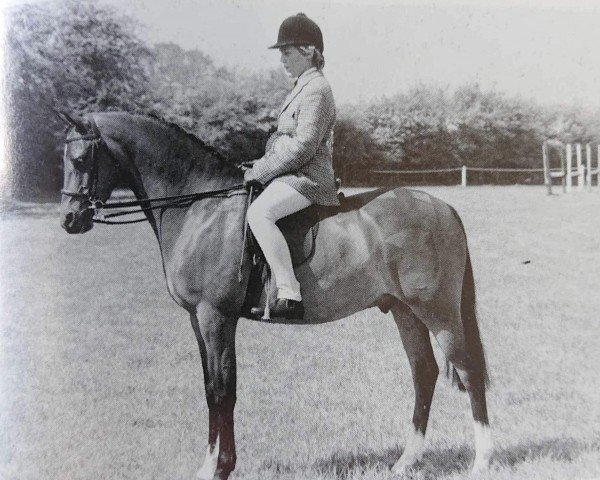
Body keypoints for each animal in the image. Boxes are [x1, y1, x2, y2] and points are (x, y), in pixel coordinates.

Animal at [58, 111, 494, 480]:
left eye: (80, 160)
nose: (69, 220)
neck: (199, 207)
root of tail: (443, 207)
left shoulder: (216, 317)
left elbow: (222, 390)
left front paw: (220, 468)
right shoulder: (198, 319)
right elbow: (210, 387)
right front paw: (211, 465)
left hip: (437, 312)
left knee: (469, 371)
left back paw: (482, 462)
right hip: (405, 312)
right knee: (424, 373)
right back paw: (407, 461)